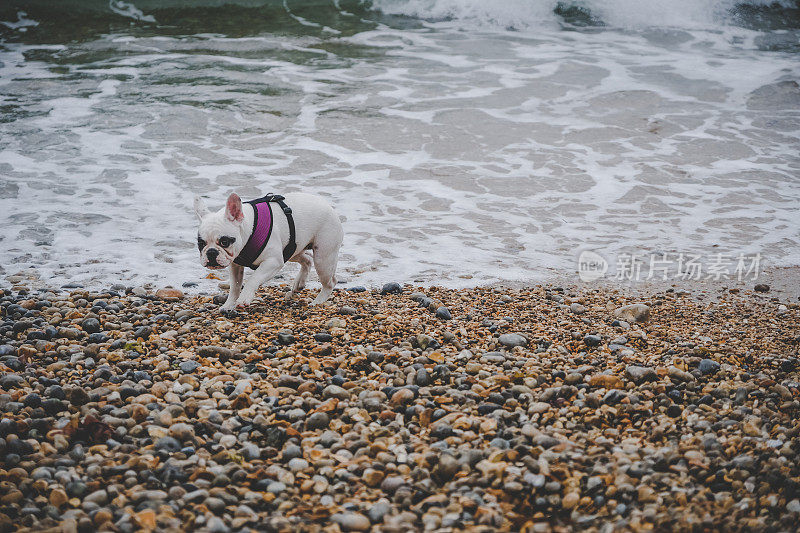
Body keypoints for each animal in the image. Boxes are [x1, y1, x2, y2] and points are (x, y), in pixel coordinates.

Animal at [196, 190, 344, 308]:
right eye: (201, 243)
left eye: (224, 241)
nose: (211, 252)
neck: (249, 229)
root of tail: (329, 207)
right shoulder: (235, 265)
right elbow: (235, 286)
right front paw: (228, 305)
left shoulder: (273, 262)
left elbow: (253, 279)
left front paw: (244, 297)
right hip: (292, 249)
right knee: (307, 259)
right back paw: (299, 283)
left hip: (323, 258)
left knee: (330, 282)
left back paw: (318, 301)